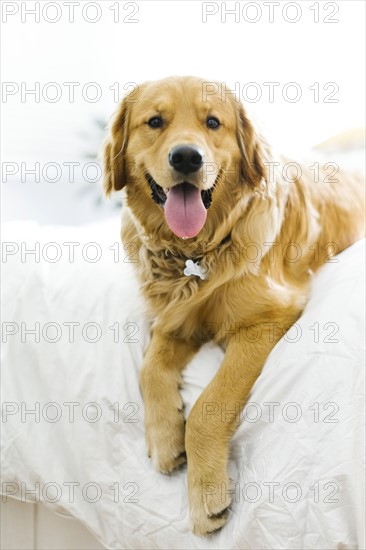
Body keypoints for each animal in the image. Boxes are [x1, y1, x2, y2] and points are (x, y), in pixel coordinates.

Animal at [103, 76, 366, 536]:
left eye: (213, 122)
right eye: (154, 122)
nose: (186, 157)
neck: (196, 251)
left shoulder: (268, 319)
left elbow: (207, 406)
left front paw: (206, 497)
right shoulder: (175, 319)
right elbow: (149, 368)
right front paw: (164, 438)